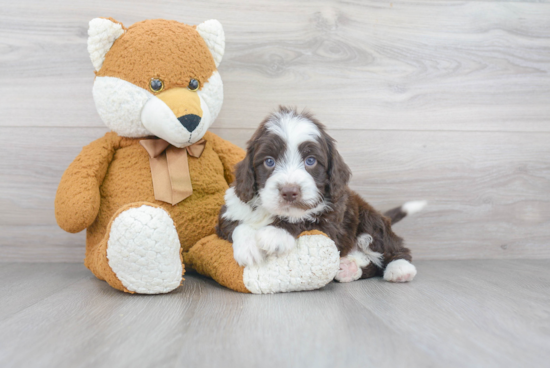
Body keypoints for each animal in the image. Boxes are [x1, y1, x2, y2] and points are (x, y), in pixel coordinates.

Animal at [217, 106, 426, 282]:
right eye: (269, 161)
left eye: (311, 161)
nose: (289, 192)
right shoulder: (230, 211)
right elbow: (236, 225)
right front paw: (248, 248)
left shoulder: (333, 220)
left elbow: (307, 219)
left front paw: (276, 233)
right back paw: (348, 268)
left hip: (369, 218)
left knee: (392, 245)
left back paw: (400, 268)